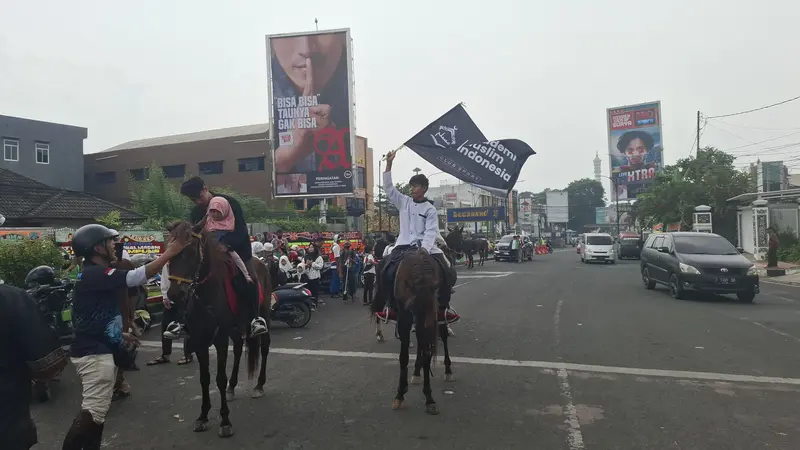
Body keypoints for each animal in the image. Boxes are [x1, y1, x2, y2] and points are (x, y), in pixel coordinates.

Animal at [165, 223, 272, 438]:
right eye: (168, 251)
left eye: (190, 250)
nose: (174, 294)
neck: (206, 295)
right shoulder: (199, 339)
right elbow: (204, 379)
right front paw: (203, 416)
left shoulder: (220, 338)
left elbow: (219, 379)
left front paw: (224, 420)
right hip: (236, 327)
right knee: (238, 348)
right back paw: (232, 387)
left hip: (262, 314)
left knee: (264, 347)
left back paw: (259, 385)